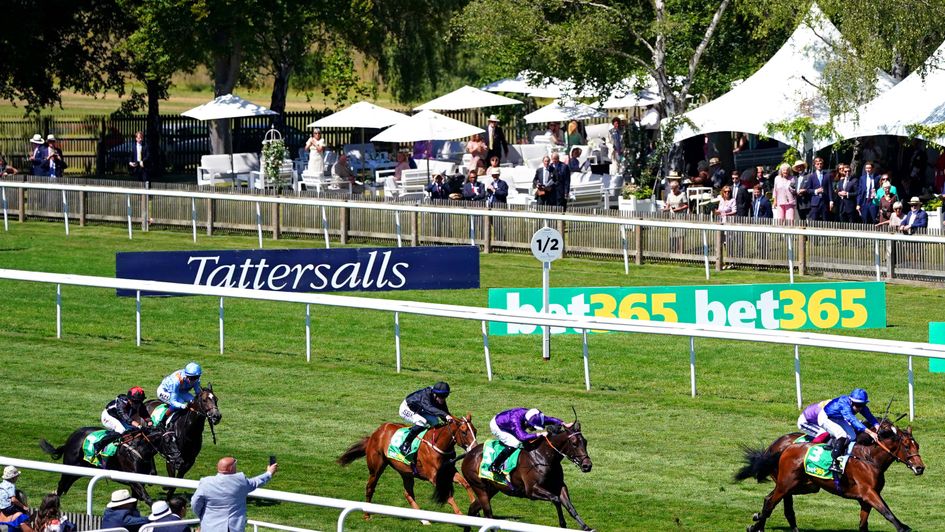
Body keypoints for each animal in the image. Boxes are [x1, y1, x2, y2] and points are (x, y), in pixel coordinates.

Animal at [39, 426, 183, 504]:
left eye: (176, 440)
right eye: (167, 441)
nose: (179, 460)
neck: (139, 450)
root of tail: (73, 436)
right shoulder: (133, 479)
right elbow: (147, 498)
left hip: (81, 469)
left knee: (65, 486)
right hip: (70, 465)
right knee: (61, 485)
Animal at [336, 416, 476, 520]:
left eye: (475, 431)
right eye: (464, 432)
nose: (474, 449)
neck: (438, 445)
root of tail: (376, 433)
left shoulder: (448, 471)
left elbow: (466, 483)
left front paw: (474, 504)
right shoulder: (433, 476)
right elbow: (448, 495)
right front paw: (460, 514)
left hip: (405, 472)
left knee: (408, 493)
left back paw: (423, 519)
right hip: (376, 468)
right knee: (370, 487)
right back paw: (366, 515)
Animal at [446, 420, 592, 532]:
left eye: (585, 442)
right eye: (574, 443)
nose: (587, 465)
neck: (544, 456)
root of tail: (469, 454)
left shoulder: (560, 486)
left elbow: (570, 507)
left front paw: (586, 527)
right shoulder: (531, 490)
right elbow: (555, 499)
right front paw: (562, 524)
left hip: (491, 489)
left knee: (472, 509)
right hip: (479, 487)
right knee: (488, 515)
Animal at [732, 420, 924, 532]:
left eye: (918, 445)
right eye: (907, 446)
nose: (920, 468)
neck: (869, 458)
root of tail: (783, 448)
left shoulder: (865, 498)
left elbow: (863, 524)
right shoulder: (869, 492)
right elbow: (887, 512)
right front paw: (903, 527)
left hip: (802, 485)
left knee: (771, 501)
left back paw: (759, 524)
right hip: (786, 483)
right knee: (772, 503)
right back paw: (757, 525)